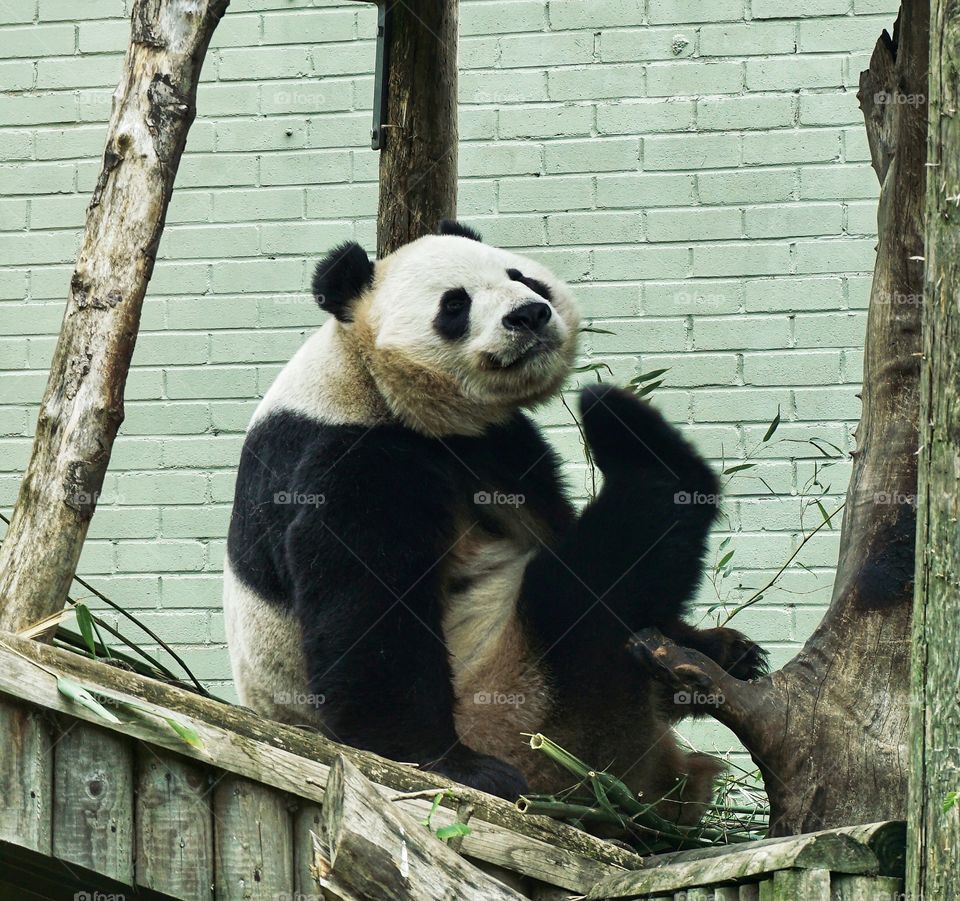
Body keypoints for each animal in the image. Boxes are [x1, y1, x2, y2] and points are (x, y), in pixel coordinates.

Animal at [223, 220, 764, 824]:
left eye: (523, 277)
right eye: (455, 304)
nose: (529, 315)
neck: (368, 380)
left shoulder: (501, 449)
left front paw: (716, 645)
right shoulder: (352, 462)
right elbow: (371, 618)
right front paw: (452, 767)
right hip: (527, 709)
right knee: (583, 590)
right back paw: (633, 438)